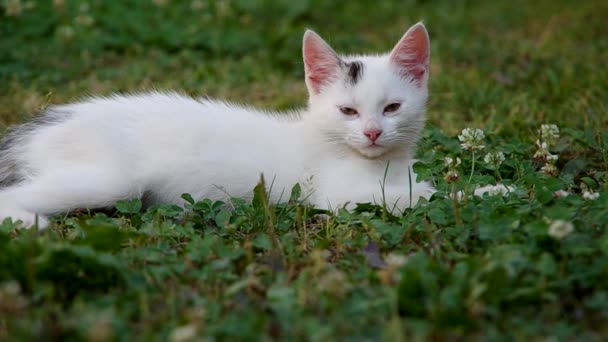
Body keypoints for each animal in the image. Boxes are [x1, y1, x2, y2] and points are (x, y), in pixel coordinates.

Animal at [0, 22, 436, 228]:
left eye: (392, 108)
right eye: (348, 111)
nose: (373, 133)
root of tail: (39, 127)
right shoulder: (335, 193)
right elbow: (419, 198)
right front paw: (451, 193)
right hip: (111, 178)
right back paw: (32, 224)